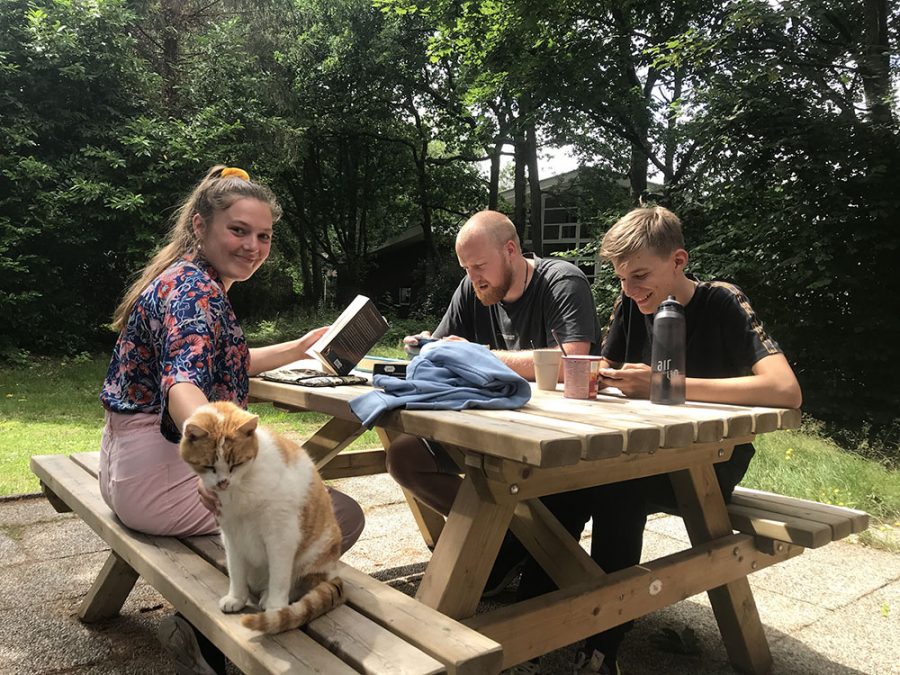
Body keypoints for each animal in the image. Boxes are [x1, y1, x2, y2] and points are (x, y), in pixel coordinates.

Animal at [179, 402, 344, 632]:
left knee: (300, 582)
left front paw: (276, 607)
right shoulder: (231, 536)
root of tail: (335, 572)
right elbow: (236, 571)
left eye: (236, 464)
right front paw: (236, 598)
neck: (242, 487)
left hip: (314, 555)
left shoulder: (281, 536)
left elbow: (279, 578)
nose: (222, 482)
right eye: (209, 466)